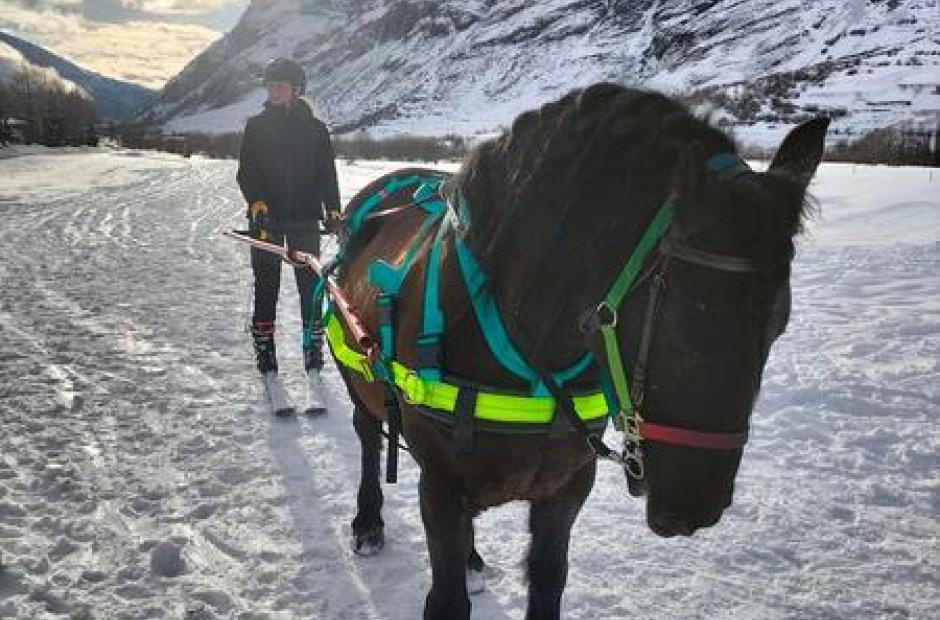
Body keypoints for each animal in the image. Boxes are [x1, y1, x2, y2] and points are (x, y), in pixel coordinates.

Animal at [329, 82, 827, 619]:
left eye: (779, 326)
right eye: (691, 319)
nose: (697, 509)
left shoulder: (566, 488)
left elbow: (548, 582)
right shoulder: (440, 488)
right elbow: (446, 600)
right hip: (356, 380)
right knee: (366, 433)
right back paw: (368, 521)